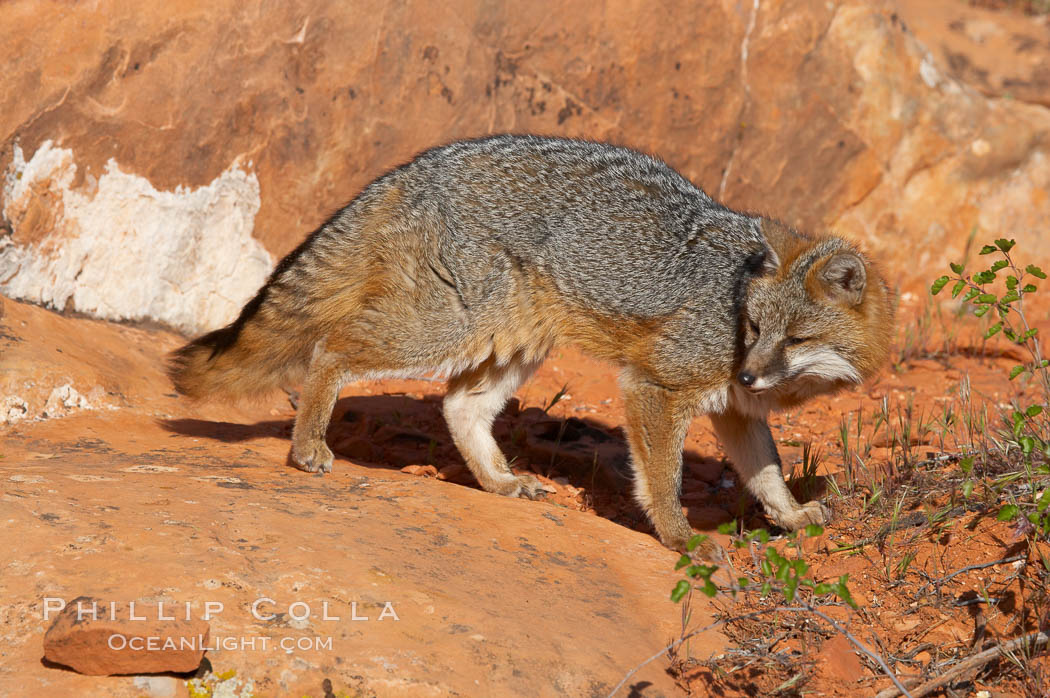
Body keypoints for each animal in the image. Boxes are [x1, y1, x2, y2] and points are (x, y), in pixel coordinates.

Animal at [170, 136, 894, 550]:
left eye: (791, 337)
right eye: (754, 329)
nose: (748, 375)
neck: (732, 291)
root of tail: (421, 163)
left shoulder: (737, 413)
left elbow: (768, 474)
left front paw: (792, 518)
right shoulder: (658, 386)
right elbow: (663, 478)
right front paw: (680, 537)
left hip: (511, 347)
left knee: (458, 408)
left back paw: (498, 482)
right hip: (438, 331)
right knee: (332, 348)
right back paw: (309, 446)